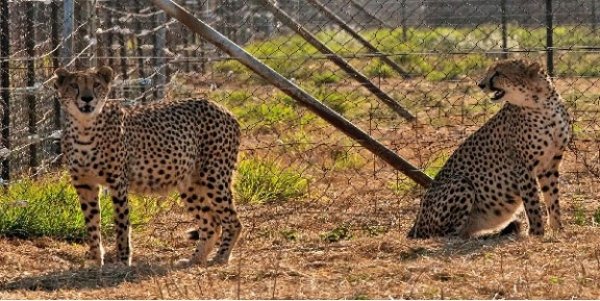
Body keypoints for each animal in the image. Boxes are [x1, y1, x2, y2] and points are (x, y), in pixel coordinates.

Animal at [53, 65, 241, 264]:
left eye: (96, 84)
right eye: (74, 85)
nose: (87, 98)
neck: (84, 128)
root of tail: (222, 108)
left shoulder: (117, 183)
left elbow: (122, 224)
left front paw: (122, 261)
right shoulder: (84, 184)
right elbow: (92, 224)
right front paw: (96, 261)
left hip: (213, 176)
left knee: (232, 221)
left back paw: (221, 257)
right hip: (189, 182)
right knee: (211, 222)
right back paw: (195, 260)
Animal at [408, 58, 572, 238]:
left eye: (498, 73)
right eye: (490, 71)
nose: (480, 84)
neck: (543, 104)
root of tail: (416, 224)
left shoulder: (550, 164)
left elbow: (552, 199)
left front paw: (558, 230)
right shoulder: (523, 167)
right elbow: (532, 204)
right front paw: (536, 233)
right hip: (462, 182)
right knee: (448, 234)